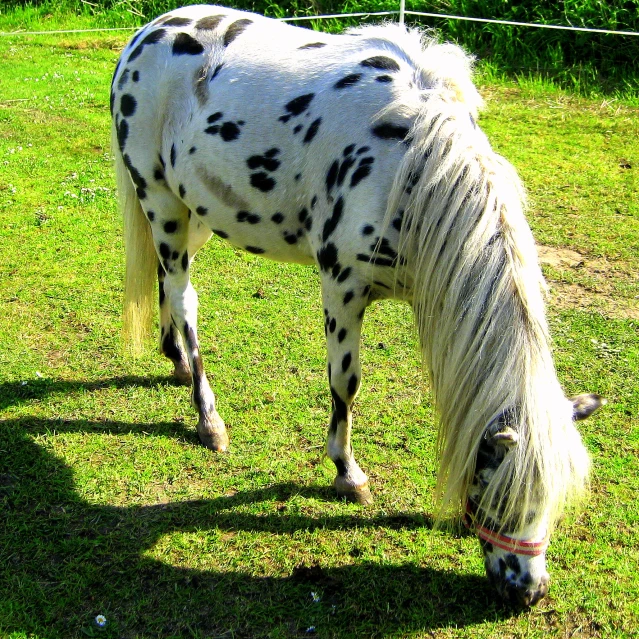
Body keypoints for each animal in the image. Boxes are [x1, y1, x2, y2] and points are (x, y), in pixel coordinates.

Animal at [112, 3, 608, 604]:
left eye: (555, 498)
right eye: (497, 494)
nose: (527, 593)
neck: (411, 165)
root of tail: (147, 32)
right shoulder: (343, 287)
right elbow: (345, 384)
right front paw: (348, 474)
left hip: (196, 212)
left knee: (168, 283)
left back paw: (178, 363)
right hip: (160, 200)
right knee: (186, 299)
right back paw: (208, 418)